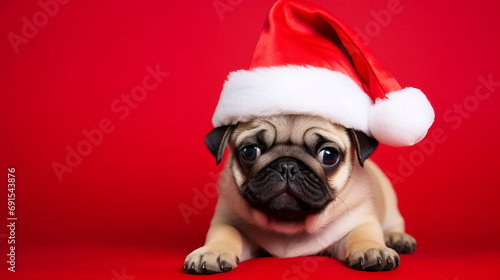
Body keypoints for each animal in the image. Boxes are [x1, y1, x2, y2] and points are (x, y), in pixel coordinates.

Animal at [185, 114, 418, 274]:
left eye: (329, 155)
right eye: (249, 152)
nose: (287, 165)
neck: (290, 224)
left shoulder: (359, 220)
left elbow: (362, 234)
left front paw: (372, 249)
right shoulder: (229, 220)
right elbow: (225, 233)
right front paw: (212, 252)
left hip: (390, 203)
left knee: (393, 223)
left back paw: (397, 238)